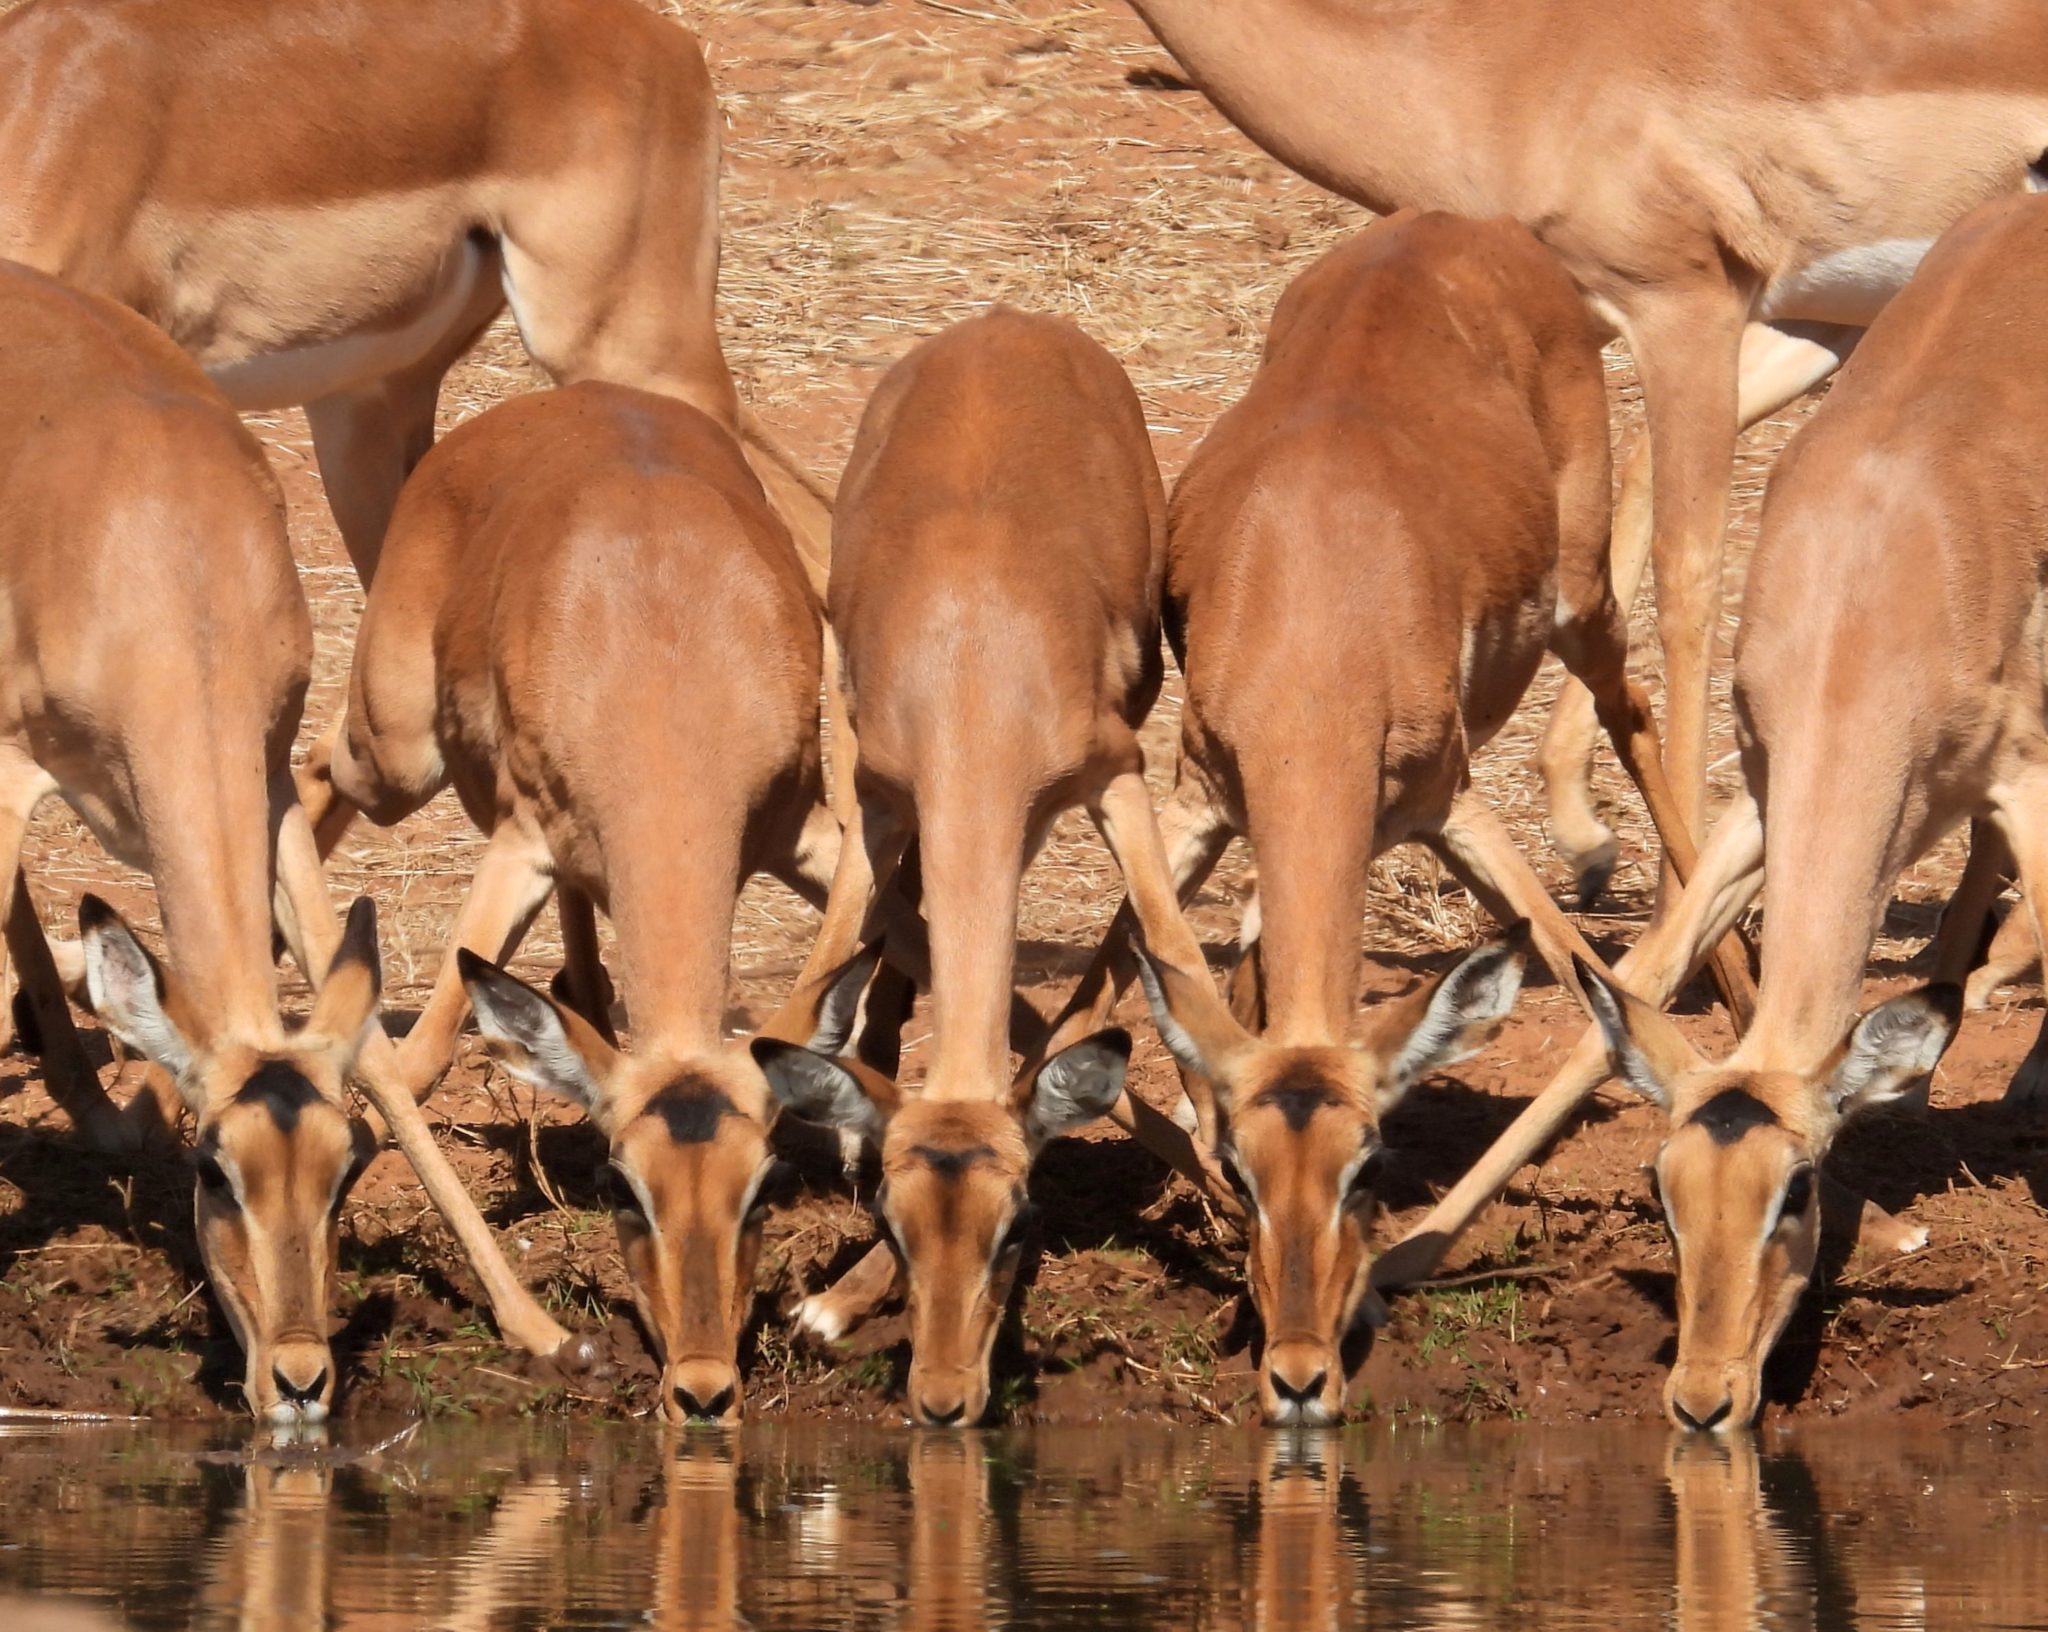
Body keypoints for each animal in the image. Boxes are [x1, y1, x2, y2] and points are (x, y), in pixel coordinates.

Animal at [0, 260, 591, 1421]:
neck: (157, 563)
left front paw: (537, 1326)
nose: (299, 1377)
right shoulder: (11, 766)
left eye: (341, 1169)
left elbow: (372, 1045)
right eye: (211, 1170)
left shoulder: (270, 789)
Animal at [329, 380, 874, 1421]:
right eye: (627, 1190)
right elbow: (420, 1058)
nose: (702, 1386)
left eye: (762, 1184)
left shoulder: (805, 829)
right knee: (304, 779)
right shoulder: (521, 848)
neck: (664, 664)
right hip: (396, 756)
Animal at [747, 308, 1193, 1427]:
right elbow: (826, 975)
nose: (944, 1398)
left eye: (1019, 1223)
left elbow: (1169, 954)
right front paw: (826, 1303)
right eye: (893, 1220)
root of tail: (1006, 320)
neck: (976, 679)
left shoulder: (1116, 775)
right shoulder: (876, 799)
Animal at [1043, 211, 1712, 1424]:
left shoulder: (1450, 809)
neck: (1315, 633)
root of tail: (1464, 225)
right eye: (1246, 1173)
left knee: (1633, 713)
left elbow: (1577, 966)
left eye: (1370, 1164)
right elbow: (1082, 1011)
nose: (1300, 1372)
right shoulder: (1200, 804)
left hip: (1581, 607)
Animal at [1392, 192, 2048, 1431]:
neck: (1873, 600)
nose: (1701, 1396)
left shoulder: (2020, 768)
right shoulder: (1759, 795)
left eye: (1797, 1188)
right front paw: (1411, 1246)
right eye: (1662, 1188)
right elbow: (1639, 974)